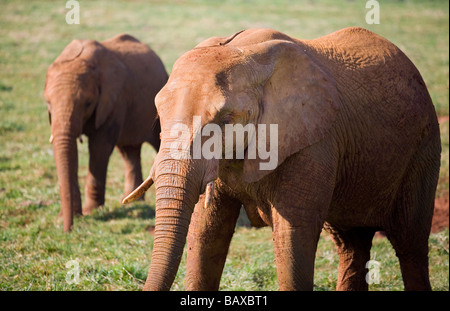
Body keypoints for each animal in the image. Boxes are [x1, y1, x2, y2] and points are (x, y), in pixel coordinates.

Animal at [44, 34, 168, 234]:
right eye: (48, 103)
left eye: (88, 103)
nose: (67, 230)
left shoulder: (114, 100)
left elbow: (99, 147)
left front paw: (91, 211)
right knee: (128, 152)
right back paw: (133, 202)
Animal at [122, 27, 440, 292]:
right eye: (159, 116)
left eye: (224, 120)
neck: (247, 53)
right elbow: (206, 233)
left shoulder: (313, 144)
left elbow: (293, 238)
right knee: (352, 244)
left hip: (423, 146)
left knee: (410, 243)